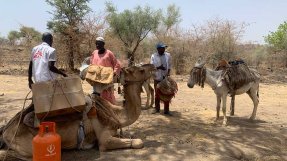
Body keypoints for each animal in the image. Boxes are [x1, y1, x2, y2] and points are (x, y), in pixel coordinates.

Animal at [0, 63, 156, 160]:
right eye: (141, 70)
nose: (153, 66)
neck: (116, 113)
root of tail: (6, 129)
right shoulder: (104, 140)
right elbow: (138, 142)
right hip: (26, 146)